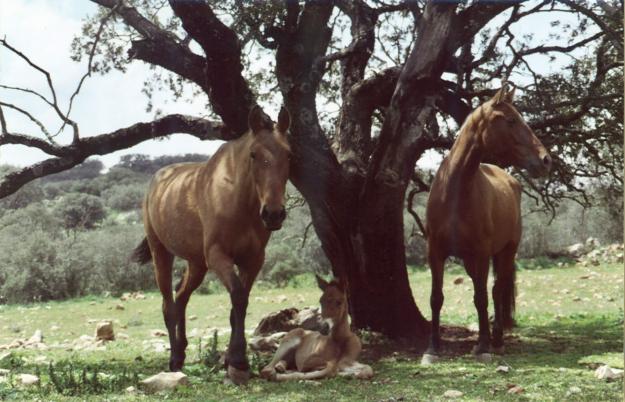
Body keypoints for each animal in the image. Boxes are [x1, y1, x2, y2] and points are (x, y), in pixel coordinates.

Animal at [130, 106, 292, 384]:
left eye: (289, 153)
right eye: (254, 154)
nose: (273, 214)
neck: (237, 201)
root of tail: (157, 181)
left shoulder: (253, 260)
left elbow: (239, 304)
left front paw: (233, 360)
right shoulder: (218, 257)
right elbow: (238, 296)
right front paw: (238, 360)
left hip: (197, 264)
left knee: (181, 296)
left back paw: (182, 351)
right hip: (161, 252)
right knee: (168, 305)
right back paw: (174, 359)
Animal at [422, 85, 548, 364]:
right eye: (511, 120)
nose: (546, 160)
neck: (455, 193)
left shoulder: (480, 253)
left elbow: (480, 299)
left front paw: (482, 346)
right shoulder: (436, 252)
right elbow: (436, 298)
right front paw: (433, 347)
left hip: (506, 252)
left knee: (497, 290)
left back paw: (496, 339)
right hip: (473, 261)